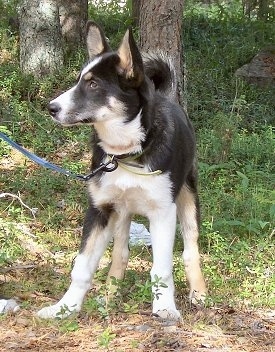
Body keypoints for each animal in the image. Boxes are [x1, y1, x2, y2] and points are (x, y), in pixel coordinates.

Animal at [38, 20, 207, 320]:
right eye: (79, 80)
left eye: (93, 84)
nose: (51, 108)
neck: (125, 153)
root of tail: (167, 97)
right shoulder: (99, 209)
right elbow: (82, 266)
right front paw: (65, 308)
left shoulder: (163, 213)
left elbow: (162, 269)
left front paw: (164, 308)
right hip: (122, 213)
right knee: (120, 253)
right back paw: (108, 297)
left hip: (188, 199)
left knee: (190, 249)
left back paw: (198, 293)